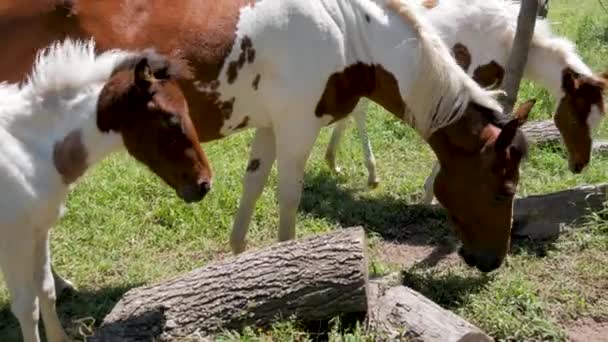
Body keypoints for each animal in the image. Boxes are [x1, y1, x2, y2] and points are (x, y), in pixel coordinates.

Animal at [0, 38, 209, 342]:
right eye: (170, 118)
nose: (204, 184)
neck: (30, 148)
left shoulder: (39, 231)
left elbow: (46, 290)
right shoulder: (13, 241)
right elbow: (27, 306)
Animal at [3, 0, 536, 276]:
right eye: (501, 191)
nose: (492, 262)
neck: (347, 33)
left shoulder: (268, 127)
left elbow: (253, 186)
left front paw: (241, 262)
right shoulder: (298, 127)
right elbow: (287, 199)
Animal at [328, 0, 608, 196]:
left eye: (597, 122)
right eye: (574, 120)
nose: (579, 164)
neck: (506, 36)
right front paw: (430, 194)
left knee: (355, 108)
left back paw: (340, 163)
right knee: (357, 110)